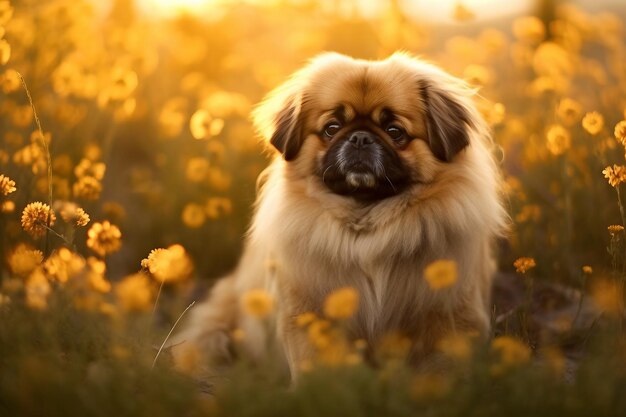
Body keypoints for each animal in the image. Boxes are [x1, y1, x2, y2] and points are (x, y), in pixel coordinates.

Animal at [171, 51, 508, 376]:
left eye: (394, 131)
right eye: (331, 128)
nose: (359, 137)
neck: (367, 224)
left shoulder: (449, 314)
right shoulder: (309, 314)